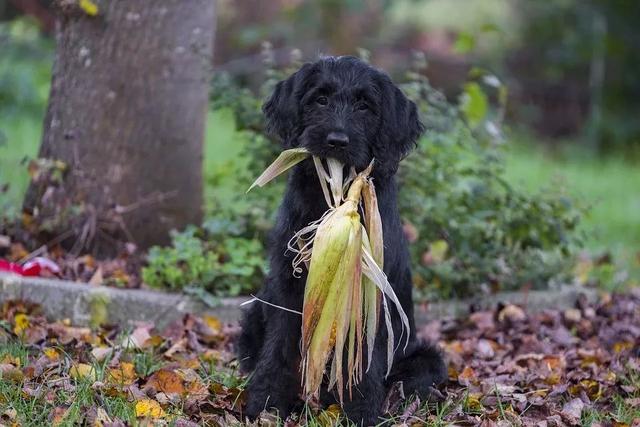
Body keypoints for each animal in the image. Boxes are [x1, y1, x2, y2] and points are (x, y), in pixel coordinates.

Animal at [236, 56, 444, 424]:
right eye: (320, 98)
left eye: (365, 105)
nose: (336, 140)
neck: (334, 199)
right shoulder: (288, 287)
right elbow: (277, 348)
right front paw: (265, 403)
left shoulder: (372, 295)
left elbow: (365, 359)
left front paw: (361, 412)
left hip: (426, 358)